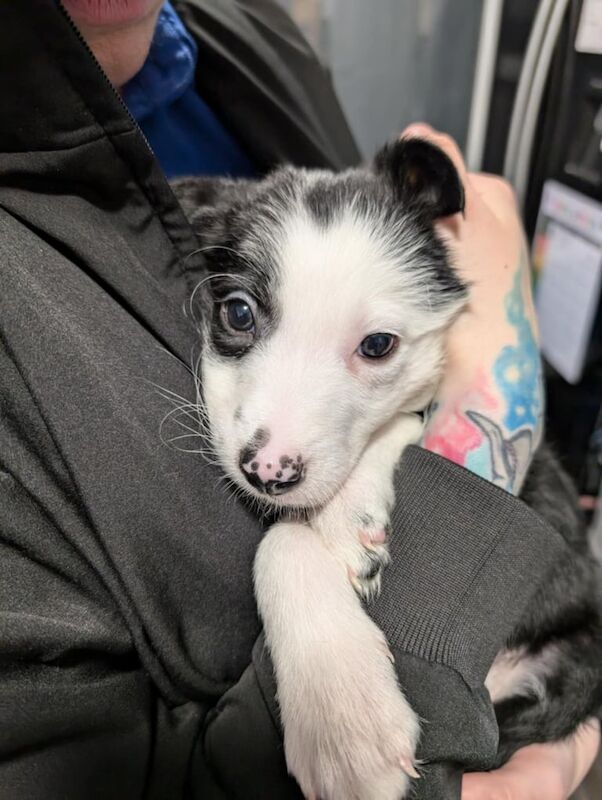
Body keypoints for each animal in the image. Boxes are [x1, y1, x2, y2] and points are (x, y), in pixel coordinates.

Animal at [169, 139, 600, 800]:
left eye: (378, 346)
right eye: (238, 315)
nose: (267, 473)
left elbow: (384, 440)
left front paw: (344, 722)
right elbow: (283, 539)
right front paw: (342, 709)